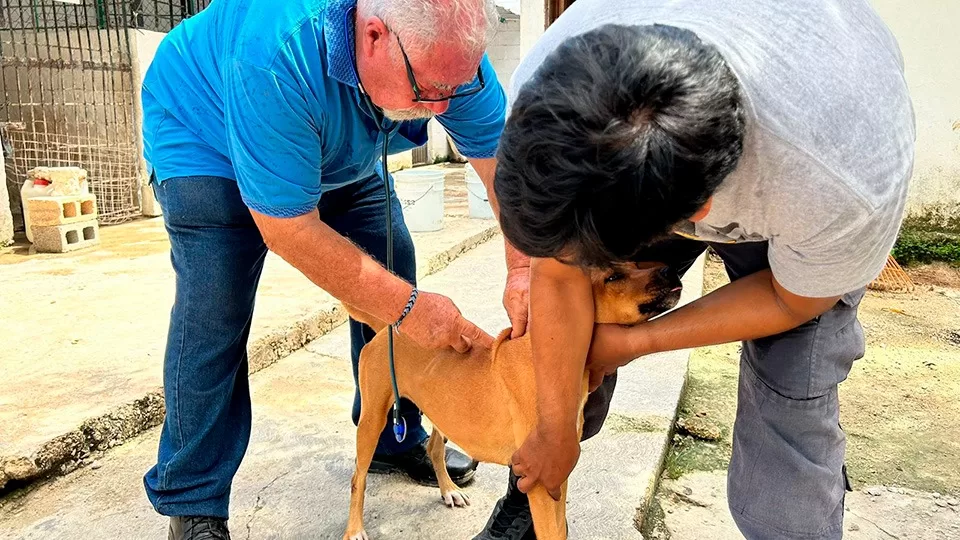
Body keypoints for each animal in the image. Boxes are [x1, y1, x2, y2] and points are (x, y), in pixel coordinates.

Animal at [344, 262, 684, 540]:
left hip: (442, 410)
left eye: (636, 263)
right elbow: (551, 532)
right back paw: (355, 529)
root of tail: (390, 328)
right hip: (373, 418)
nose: (670, 269)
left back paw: (449, 490)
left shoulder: (557, 473)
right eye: (612, 277)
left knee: (434, 448)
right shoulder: (541, 479)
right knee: (358, 477)